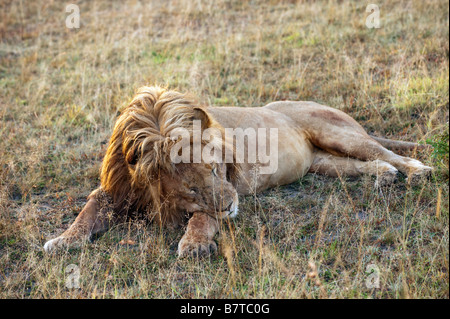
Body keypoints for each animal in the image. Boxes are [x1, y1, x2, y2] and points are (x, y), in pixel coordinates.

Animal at [43, 86, 432, 258]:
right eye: (190, 189)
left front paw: (195, 244)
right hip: (322, 162)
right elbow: (88, 210)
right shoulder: (115, 189)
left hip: (336, 133)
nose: (231, 206)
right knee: (369, 163)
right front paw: (65, 240)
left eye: (217, 170)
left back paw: (418, 172)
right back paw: (384, 176)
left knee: (384, 151)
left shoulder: (231, 183)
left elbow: (204, 218)